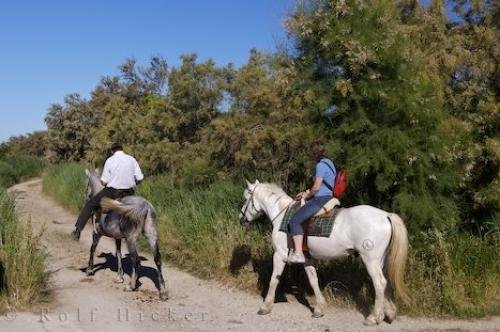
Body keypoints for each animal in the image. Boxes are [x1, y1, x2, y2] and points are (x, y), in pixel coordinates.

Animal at [82, 169, 168, 300]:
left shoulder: (96, 233)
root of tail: (145, 206)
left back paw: (131, 286)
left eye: (86, 185)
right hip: (151, 235)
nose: (85, 198)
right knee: (157, 258)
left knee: (136, 259)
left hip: (130, 238)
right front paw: (119, 276)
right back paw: (163, 292)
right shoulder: (117, 237)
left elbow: (92, 249)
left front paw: (90, 270)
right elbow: (118, 253)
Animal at [239, 180, 410, 326]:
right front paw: (319, 308)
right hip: (381, 260)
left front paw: (265, 306)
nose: (241, 218)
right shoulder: (306, 259)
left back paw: (374, 317)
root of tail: (386, 215)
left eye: (246, 198)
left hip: (370, 260)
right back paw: (389, 313)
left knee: (379, 283)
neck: (282, 216)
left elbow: (274, 280)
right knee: (386, 282)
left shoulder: (279, 255)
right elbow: (313, 280)